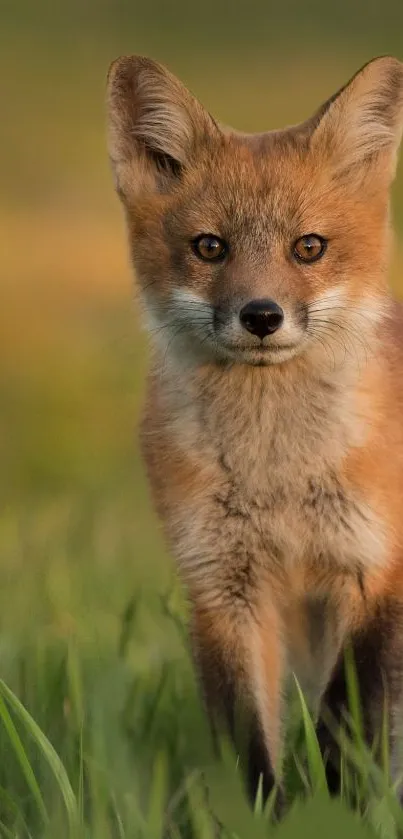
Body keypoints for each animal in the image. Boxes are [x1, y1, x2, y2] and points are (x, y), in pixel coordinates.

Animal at [105, 55, 403, 804]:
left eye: (308, 247)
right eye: (210, 247)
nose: (261, 315)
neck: (278, 476)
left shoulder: (374, 569)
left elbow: (343, 727)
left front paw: (338, 808)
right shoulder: (222, 584)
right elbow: (247, 746)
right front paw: (267, 813)